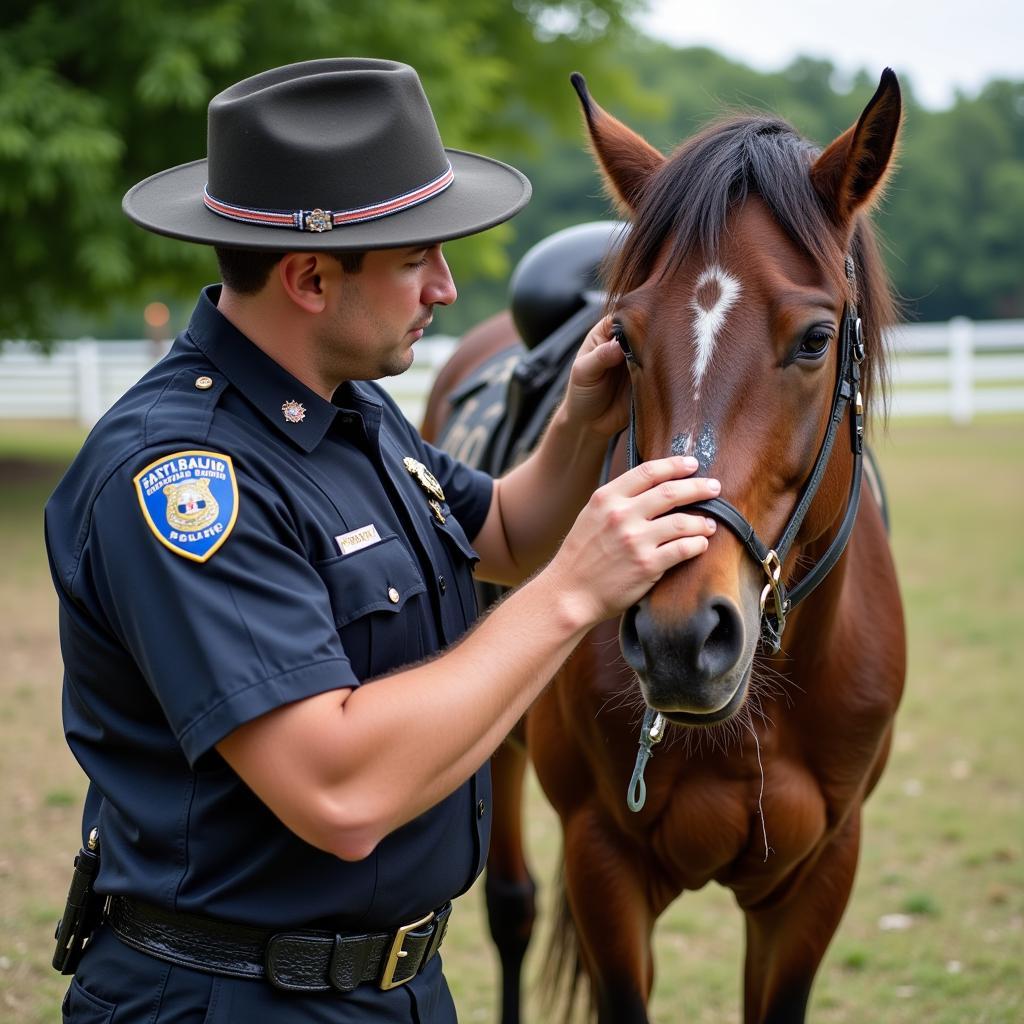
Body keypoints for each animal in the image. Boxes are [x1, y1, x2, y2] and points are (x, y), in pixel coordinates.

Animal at [421, 72, 905, 1024]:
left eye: (816, 339)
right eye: (624, 340)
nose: (681, 638)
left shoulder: (821, 876)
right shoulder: (602, 863)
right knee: (511, 910)